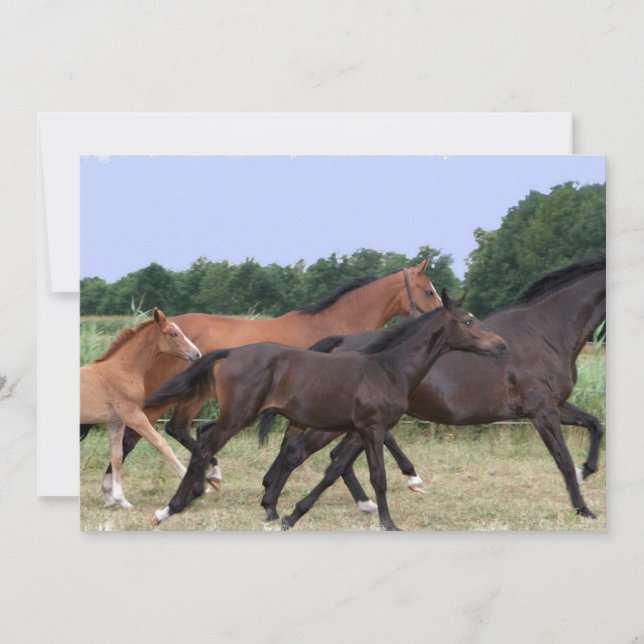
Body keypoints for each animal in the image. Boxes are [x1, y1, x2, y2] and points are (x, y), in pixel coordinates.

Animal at [80, 308, 201, 508]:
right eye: (173, 333)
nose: (197, 354)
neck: (122, 369)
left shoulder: (116, 422)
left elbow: (117, 456)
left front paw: (121, 500)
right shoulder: (133, 415)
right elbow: (162, 444)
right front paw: (193, 482)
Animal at [101, 260, 442, 495]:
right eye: (428, 290)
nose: (441, 319)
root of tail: (160, 326)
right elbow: (384, 436)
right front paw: (413, 478)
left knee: (172, 429)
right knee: (146, 432)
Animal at [145, 289, 508, 530]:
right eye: (468, 320)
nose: (502, 345)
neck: (387, 368)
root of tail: (230, 352)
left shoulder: (356, 429)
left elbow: (335, 469)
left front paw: (290, 514)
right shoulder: (373, 428)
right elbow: (378, 477)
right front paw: (389, 522)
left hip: (237, 415)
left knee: (202, 436)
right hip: (238, 416)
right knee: (203, 445)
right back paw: (171, 508)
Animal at [259, 255, 606, 523]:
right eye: (427, 291)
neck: (544, 331)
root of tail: (341, 341)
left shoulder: (556, 406)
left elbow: (595, 424)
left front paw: (586, 471)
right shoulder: (541, 411)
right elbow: (562, 458)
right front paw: (584, 508)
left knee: (328, 458)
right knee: (300, 452)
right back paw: (276, 508)